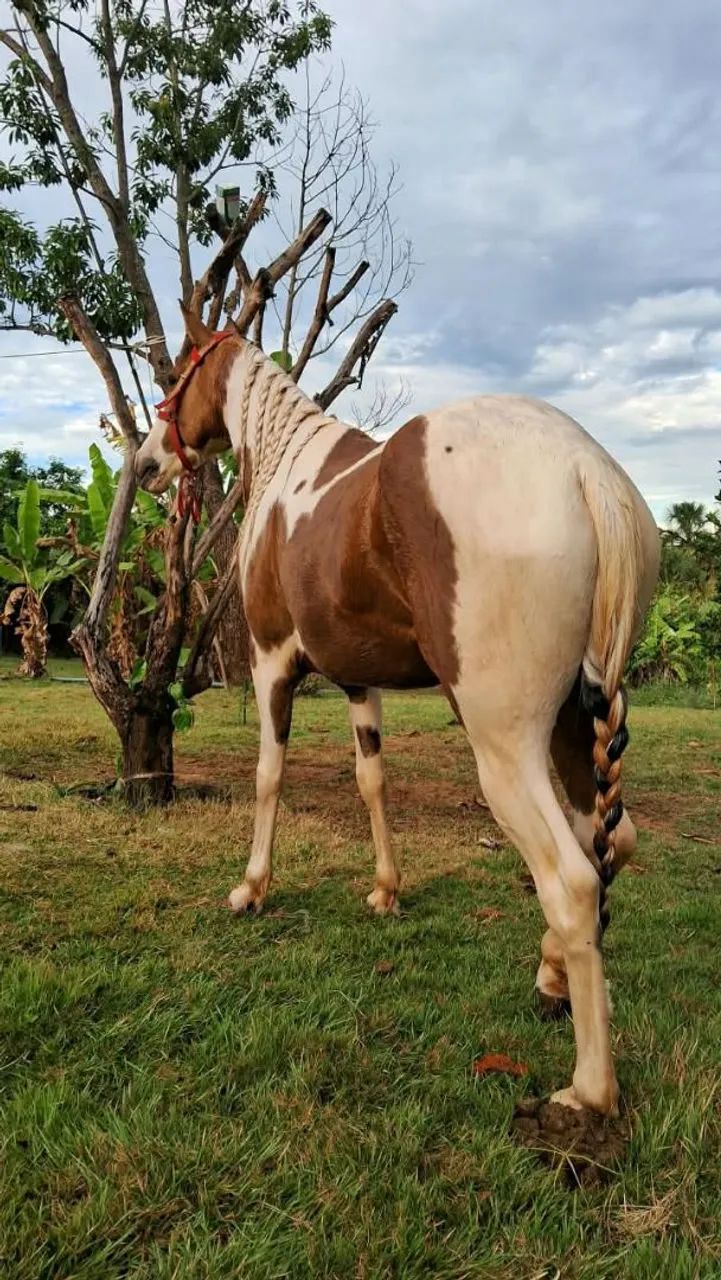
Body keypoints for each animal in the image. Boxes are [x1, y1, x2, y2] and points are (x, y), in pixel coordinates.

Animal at [136, 305, 660, 1116]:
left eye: (176, 378)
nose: (145, 463)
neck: (288, 464)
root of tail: (583, 469)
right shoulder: (359, 683)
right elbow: (371, 781)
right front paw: (386, 889)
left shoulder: (270, 664)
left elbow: (268, 777)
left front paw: (251, 887)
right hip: (578, 722)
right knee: (610, 841)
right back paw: (551, 978)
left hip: (505, 746)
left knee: (572, 881)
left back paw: (587, 1089)